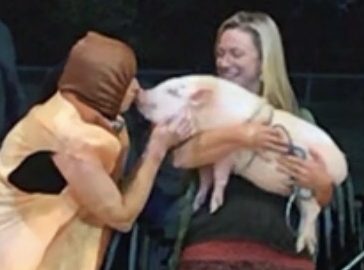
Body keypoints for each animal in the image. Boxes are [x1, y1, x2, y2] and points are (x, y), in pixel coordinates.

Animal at [136, 74, 346, 255]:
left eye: (173, 91)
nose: (140, 93)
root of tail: (341, 167)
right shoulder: (206, 159)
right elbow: (205, 179)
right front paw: (197, 204)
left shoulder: (226, 156)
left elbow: (220, 177)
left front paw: (214, 206)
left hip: (307, 184)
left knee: (312, 213)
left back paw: (301, 246)